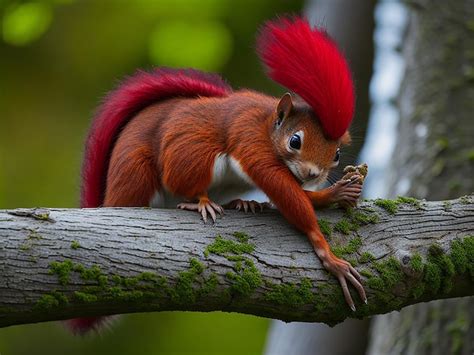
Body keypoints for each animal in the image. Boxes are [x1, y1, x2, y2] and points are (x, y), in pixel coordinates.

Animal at [70, 16, 366, 334]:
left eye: (336, 154)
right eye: (295, 141)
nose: (312, 174)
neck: (267, 124)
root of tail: (111, 195)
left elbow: (294, 194)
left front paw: (338, 192)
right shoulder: (249, 138)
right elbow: (286, 193)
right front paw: (328, 255)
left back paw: (243, 203)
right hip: (164, 166)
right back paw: (199, 201)